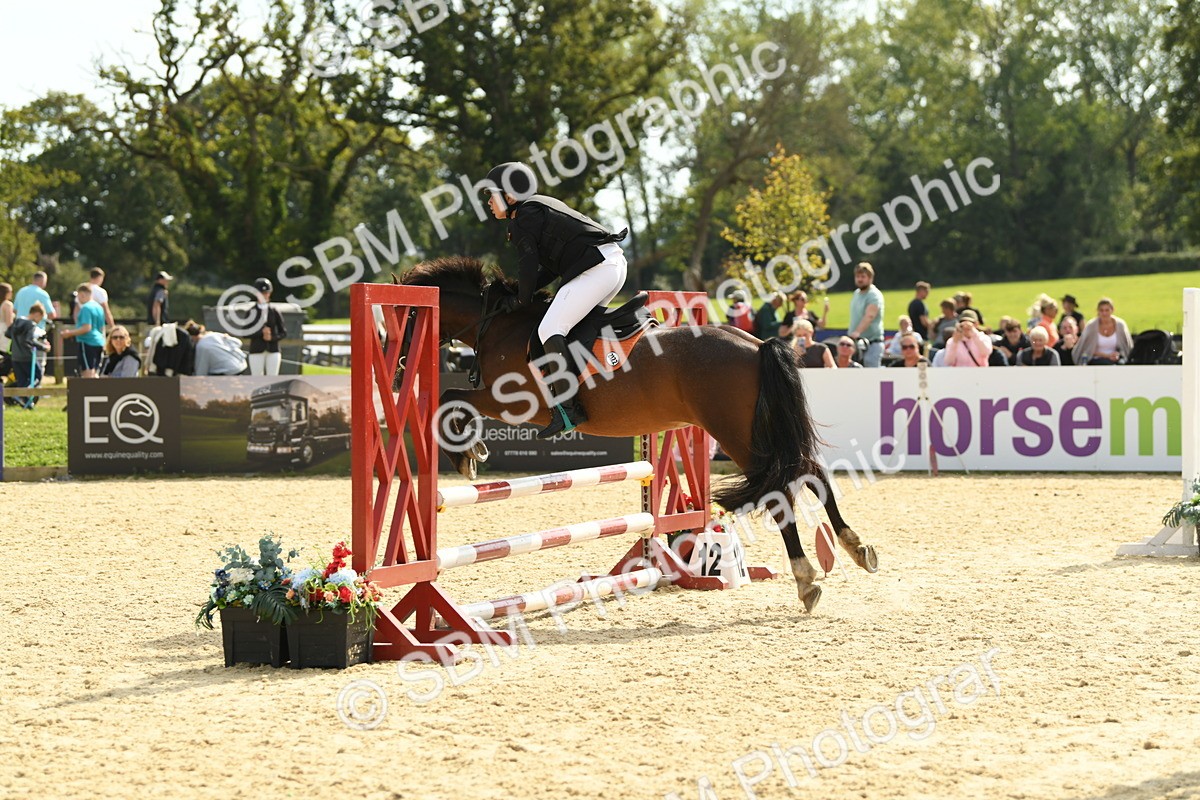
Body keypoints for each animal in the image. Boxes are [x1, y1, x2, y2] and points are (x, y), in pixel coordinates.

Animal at [399, 256, 878, 611]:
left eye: (405, 321)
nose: (401, 366)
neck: (498, 325)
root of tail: (756, 344)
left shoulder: (514, 404)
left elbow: (450, 398)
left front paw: (465, 454)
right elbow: (453, 398)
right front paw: (473, 449)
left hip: (739, 436)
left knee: (784, 487)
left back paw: (806, 579)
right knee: (810, 472)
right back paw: (856, 548)